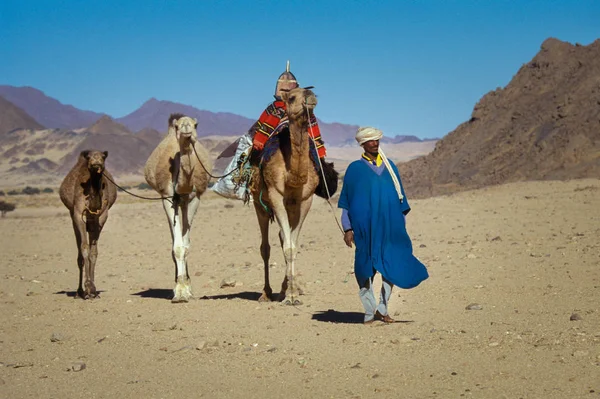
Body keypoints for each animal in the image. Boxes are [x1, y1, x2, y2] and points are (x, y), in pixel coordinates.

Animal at [59, 150, 117, 300]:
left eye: (103, 157)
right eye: (89, 157)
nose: (96, 163)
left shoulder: (102, 216)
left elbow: (93, 252)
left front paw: (93, 289)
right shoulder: (78, 213)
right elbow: (84, 248)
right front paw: (87, 288)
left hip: (91, 219)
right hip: (73, 215)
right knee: (79, 251)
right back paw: (79, 291)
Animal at [144, 112, 212, 304]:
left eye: (196, 124)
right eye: (177, 126)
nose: (186, 127)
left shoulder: (195, 197)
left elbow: (186, 245)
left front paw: (186, 288)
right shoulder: (167, 197)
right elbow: (178, 247)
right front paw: (180, 292)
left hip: (184, 203)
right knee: (174, 239)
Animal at [248, 88, 332, 306]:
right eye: (293, 97)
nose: (310, 95)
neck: (292, 175)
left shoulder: (304, 201)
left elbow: (292, 246)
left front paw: (293, 293)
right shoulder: (275, 196)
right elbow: (286, 247)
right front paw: (290, 296)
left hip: (290, 207)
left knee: (282, 238)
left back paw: (286, 289)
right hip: (259, 205)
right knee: (265, 248)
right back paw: (266, 293)